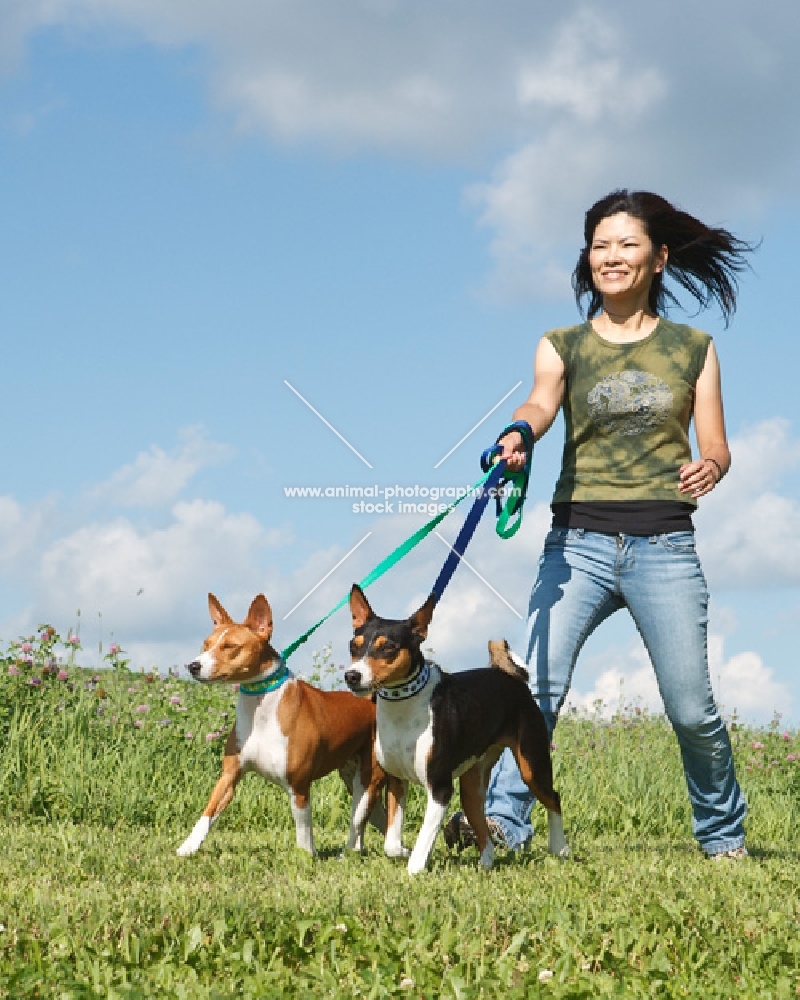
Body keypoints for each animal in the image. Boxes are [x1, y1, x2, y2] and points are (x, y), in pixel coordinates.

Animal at [177, 592, 398, 860]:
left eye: (230, 647)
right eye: (206, 645)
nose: (193, 666)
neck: (261, 712)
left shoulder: (298, 786)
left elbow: (303, 833)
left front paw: (306, 858)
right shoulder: (229, 776)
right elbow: (208, 813)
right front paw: (187, 847)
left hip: (366, 782)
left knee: (358, 821)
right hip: (353, 778)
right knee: (376, 819)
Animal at [344, 584, 568, 876]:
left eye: (388, 648)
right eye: (354, 646)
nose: (352, 676)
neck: (404, 709)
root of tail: (511, 678)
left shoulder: (439, 788)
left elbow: (424, 838)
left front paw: (415, 865)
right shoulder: (397, 780)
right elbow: (390, 844)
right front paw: (404, 851)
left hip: (532, 766)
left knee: (554, 798)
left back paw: (560, 848)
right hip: (471, 786)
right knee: (483, 828)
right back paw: (485, 864)